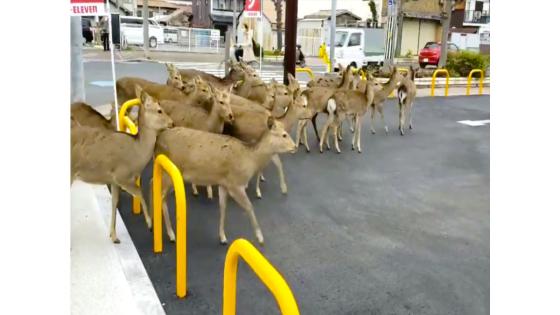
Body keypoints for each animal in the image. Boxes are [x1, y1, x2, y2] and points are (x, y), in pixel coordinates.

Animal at [71, 86, 174, 244]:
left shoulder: (113, 180)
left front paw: (114, 236)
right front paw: (150, 224)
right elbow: (139, 191)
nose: (172, 123)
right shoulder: (121, 175)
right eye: (159, 110)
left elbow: (114, 201)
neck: (137, 155)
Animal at [155, 119, 298, 246]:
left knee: (158, 190)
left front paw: (223, 237)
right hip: (169, 174)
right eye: (284, 134)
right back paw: (169, 234)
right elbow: (249, 206)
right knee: (158, 193)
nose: (295, 147)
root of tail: (158, 141)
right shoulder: (236, 183)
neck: (250, 160)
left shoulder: (224, 183)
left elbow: (223, 207)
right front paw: (260, 237)